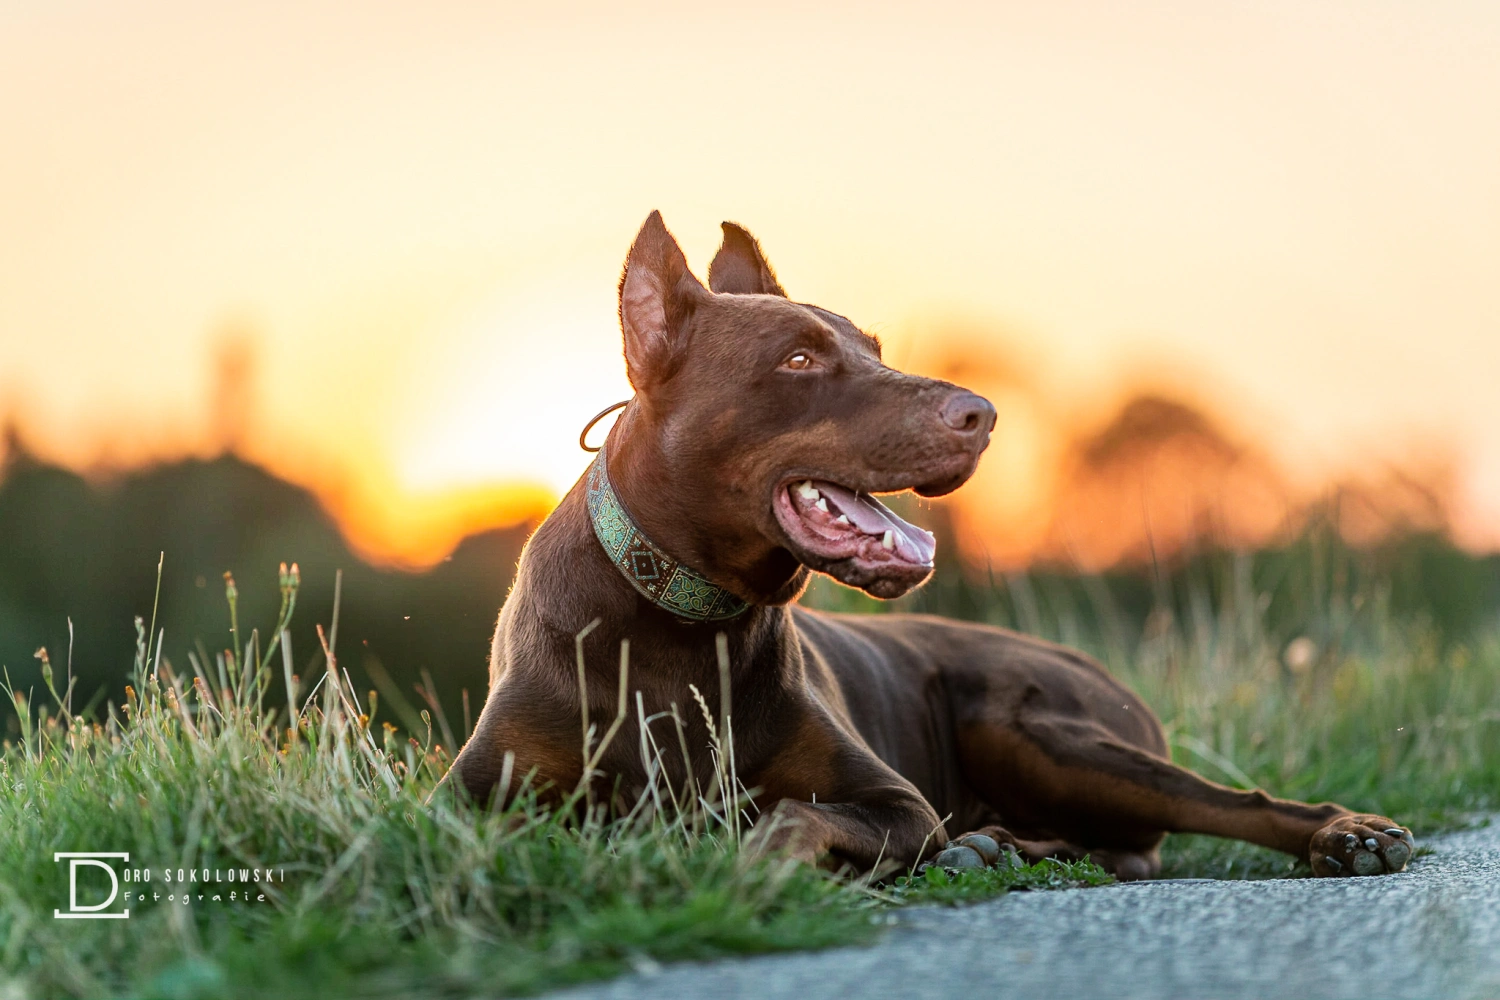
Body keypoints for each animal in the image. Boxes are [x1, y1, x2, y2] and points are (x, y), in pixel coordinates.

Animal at [450, 206, 1410, 881]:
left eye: (872, 345)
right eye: (799, 358)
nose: (982, 415)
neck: (680, 623)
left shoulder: (893, 800)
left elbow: (793, 814)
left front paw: (747, 863)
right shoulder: (468, 802)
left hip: (1029, 725)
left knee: (1223, 804)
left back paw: (1348, 834)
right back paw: (989, 848)